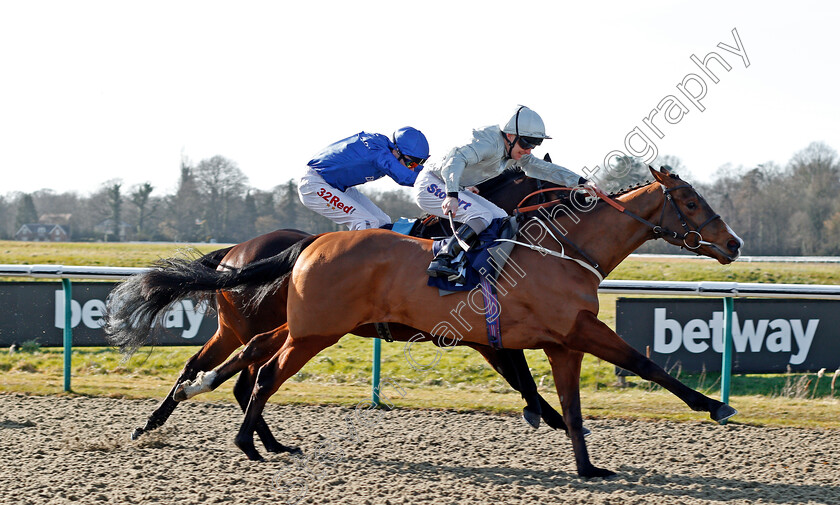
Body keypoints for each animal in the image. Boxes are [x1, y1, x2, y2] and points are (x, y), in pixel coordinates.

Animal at [105, 162, 576, 448]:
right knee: (243, 376)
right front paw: (554, 420)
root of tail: (234, 252)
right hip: (263, 325)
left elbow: (523, 378)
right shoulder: (480, 336)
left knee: (216, 370)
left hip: (244, 328)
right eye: (552, 188)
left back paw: (166, 424)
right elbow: (522, 379)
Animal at [172, 165, 740, 476]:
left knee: (251, 357)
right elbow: (644, 365)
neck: (560, 249)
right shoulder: (573, 329)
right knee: (264, 372)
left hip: (305, 325)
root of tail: (310, 244)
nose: (733, 244)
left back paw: (205, 401)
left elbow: (569, 403)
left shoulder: (553, 341)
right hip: (316, 331)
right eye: (691, 201)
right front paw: (714, 405)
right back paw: (245, 441)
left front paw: (588, 465)